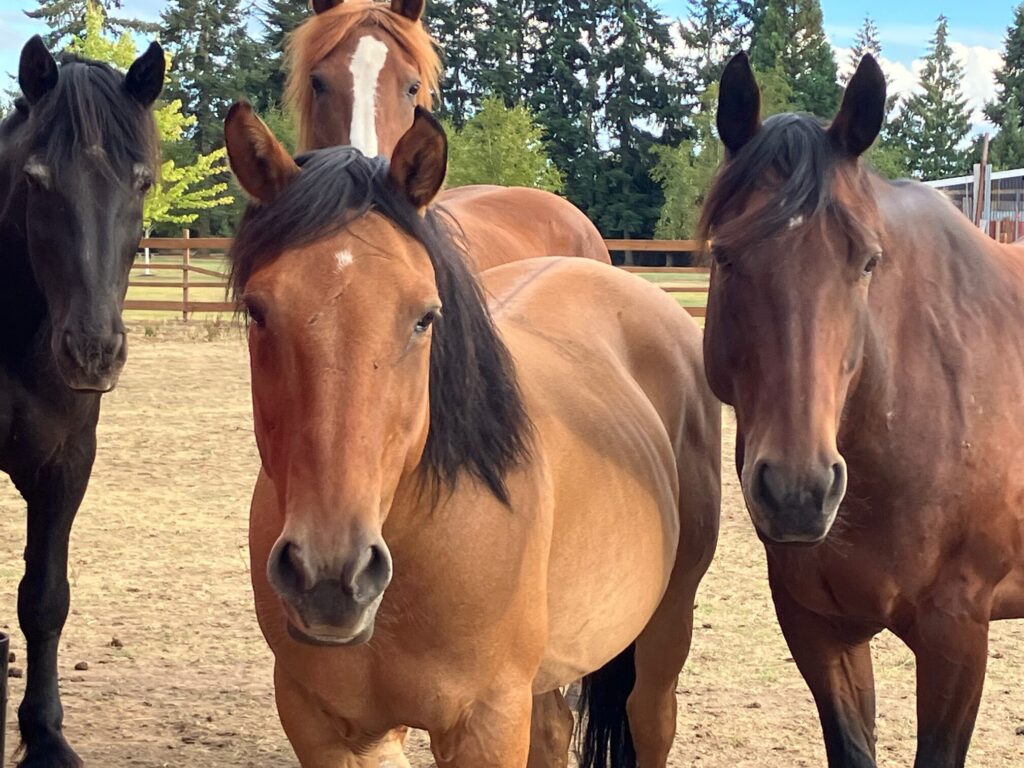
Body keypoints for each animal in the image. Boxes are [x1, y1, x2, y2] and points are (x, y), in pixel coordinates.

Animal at [224, 102, 720, 768]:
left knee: (651, 718)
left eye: (424, 316)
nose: (331, 577)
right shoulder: (330, 728)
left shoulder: (486, 723)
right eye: (258, 311)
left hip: (666, 625)